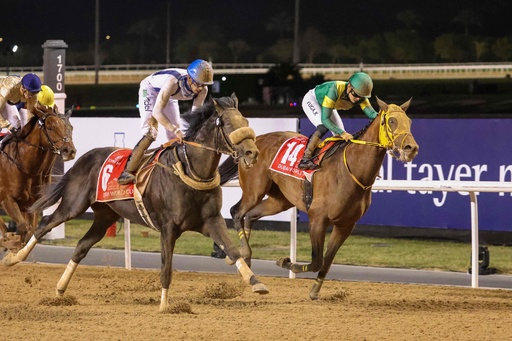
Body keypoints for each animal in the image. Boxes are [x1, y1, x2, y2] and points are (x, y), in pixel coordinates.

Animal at [0, 103, 76, 247]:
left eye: (70, 128)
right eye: (50, 127)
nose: (70, 151)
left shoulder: (31, 204)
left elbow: (30, 231)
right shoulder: (6, 200)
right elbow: (23, 227)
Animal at [218, 97, 418, 298]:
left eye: (409, 121)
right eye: (391, 121)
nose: (411, 148)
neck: (351, 170)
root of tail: (255, 140)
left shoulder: (346, 225)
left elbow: (327, 260)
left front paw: (314, 290)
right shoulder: (317, 218)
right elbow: (316, 261)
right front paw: (285, 262)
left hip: (280, 200)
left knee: (250, 215)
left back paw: (246, 260)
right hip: (254, 190)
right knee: (236, 212)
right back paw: (241, 253)